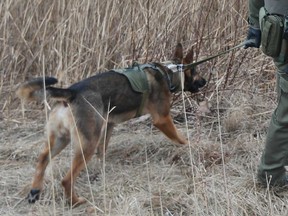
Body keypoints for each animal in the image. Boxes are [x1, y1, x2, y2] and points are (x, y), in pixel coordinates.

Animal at [16, 43, 206, 206]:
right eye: (196, 70)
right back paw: (75, 201)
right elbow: (181, 138)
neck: (169, 72)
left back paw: (34, 191)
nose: (205, 81)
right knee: (66, 179)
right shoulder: (163, 119)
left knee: (42, 159)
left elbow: (103, 151)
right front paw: (192, 148)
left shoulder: (109, 126)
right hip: (86, 145)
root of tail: (71, 92)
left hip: (60, 139)